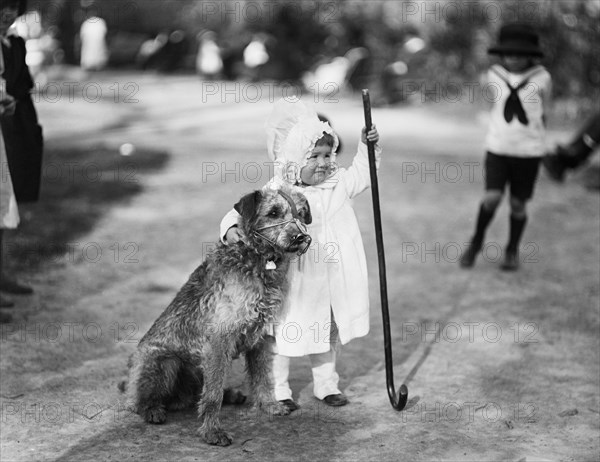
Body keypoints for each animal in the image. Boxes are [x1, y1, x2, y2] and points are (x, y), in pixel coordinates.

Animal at [121, 186, 310, 446]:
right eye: (273, 212)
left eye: (300, 214)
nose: (301, 238)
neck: (256, 259)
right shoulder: (219, 340)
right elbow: (212, 396)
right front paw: (212, 431)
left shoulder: (260, 337)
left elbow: (262, 377)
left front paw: (269, 405)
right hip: (166, 362)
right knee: (141, 401)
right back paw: (152, 409)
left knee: (196, 394)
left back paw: (231, 395)